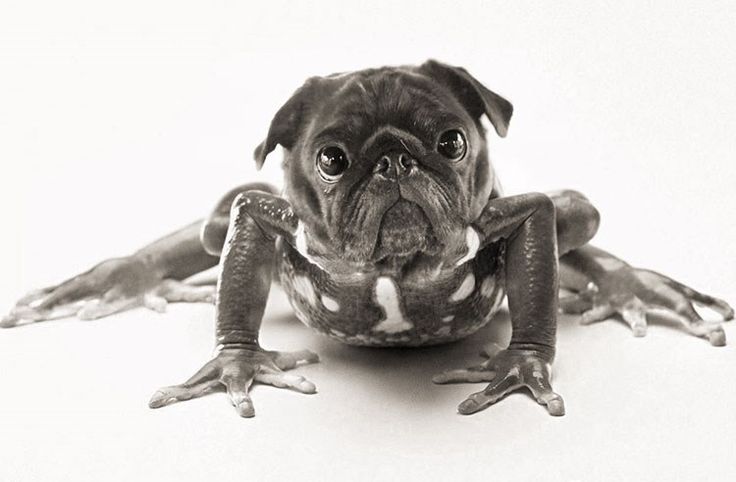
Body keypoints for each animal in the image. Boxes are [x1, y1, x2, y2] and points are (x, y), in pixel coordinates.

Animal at [2, 60, 732, 416]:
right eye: (331, 158)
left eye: (452, 142)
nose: (394, 161)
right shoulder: (261, 214)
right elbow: (242, 247)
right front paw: (238, 364)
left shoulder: (522, 212)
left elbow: (540, 237)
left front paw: (521, 367)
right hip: (213, 224)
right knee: (211, 227)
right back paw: (121, 277)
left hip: (579, 213)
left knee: (578, 216)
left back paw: (633, 289)